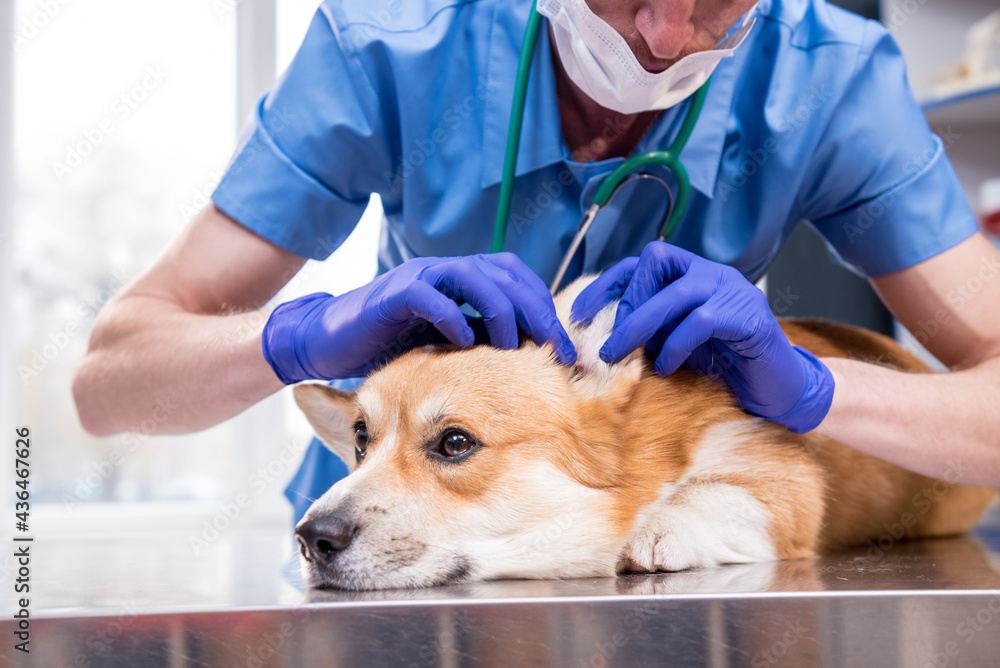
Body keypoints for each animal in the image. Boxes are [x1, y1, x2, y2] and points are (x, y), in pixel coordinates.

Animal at [290, 276, 992, 588]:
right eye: (361, 438)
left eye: (456, 443)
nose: (310, 538)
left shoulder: (782, 479)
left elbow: (722, 492)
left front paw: (660, 527)